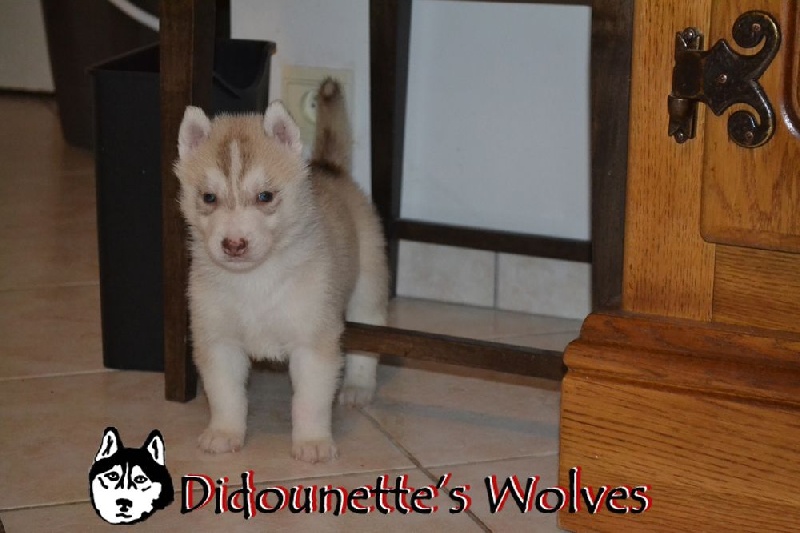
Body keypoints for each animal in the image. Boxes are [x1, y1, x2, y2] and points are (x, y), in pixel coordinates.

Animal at [174, 78, 389, 463]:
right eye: (209, 198)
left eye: (265, 196)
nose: (234, 244)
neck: (253, 280)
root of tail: (326, 167)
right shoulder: (218, 341)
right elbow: (226, 395)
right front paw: (224, 432)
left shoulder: (313, 342)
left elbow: (310, 400)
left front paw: (312, 442)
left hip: (368, 282)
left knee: (369, 333)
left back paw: (358, 386)